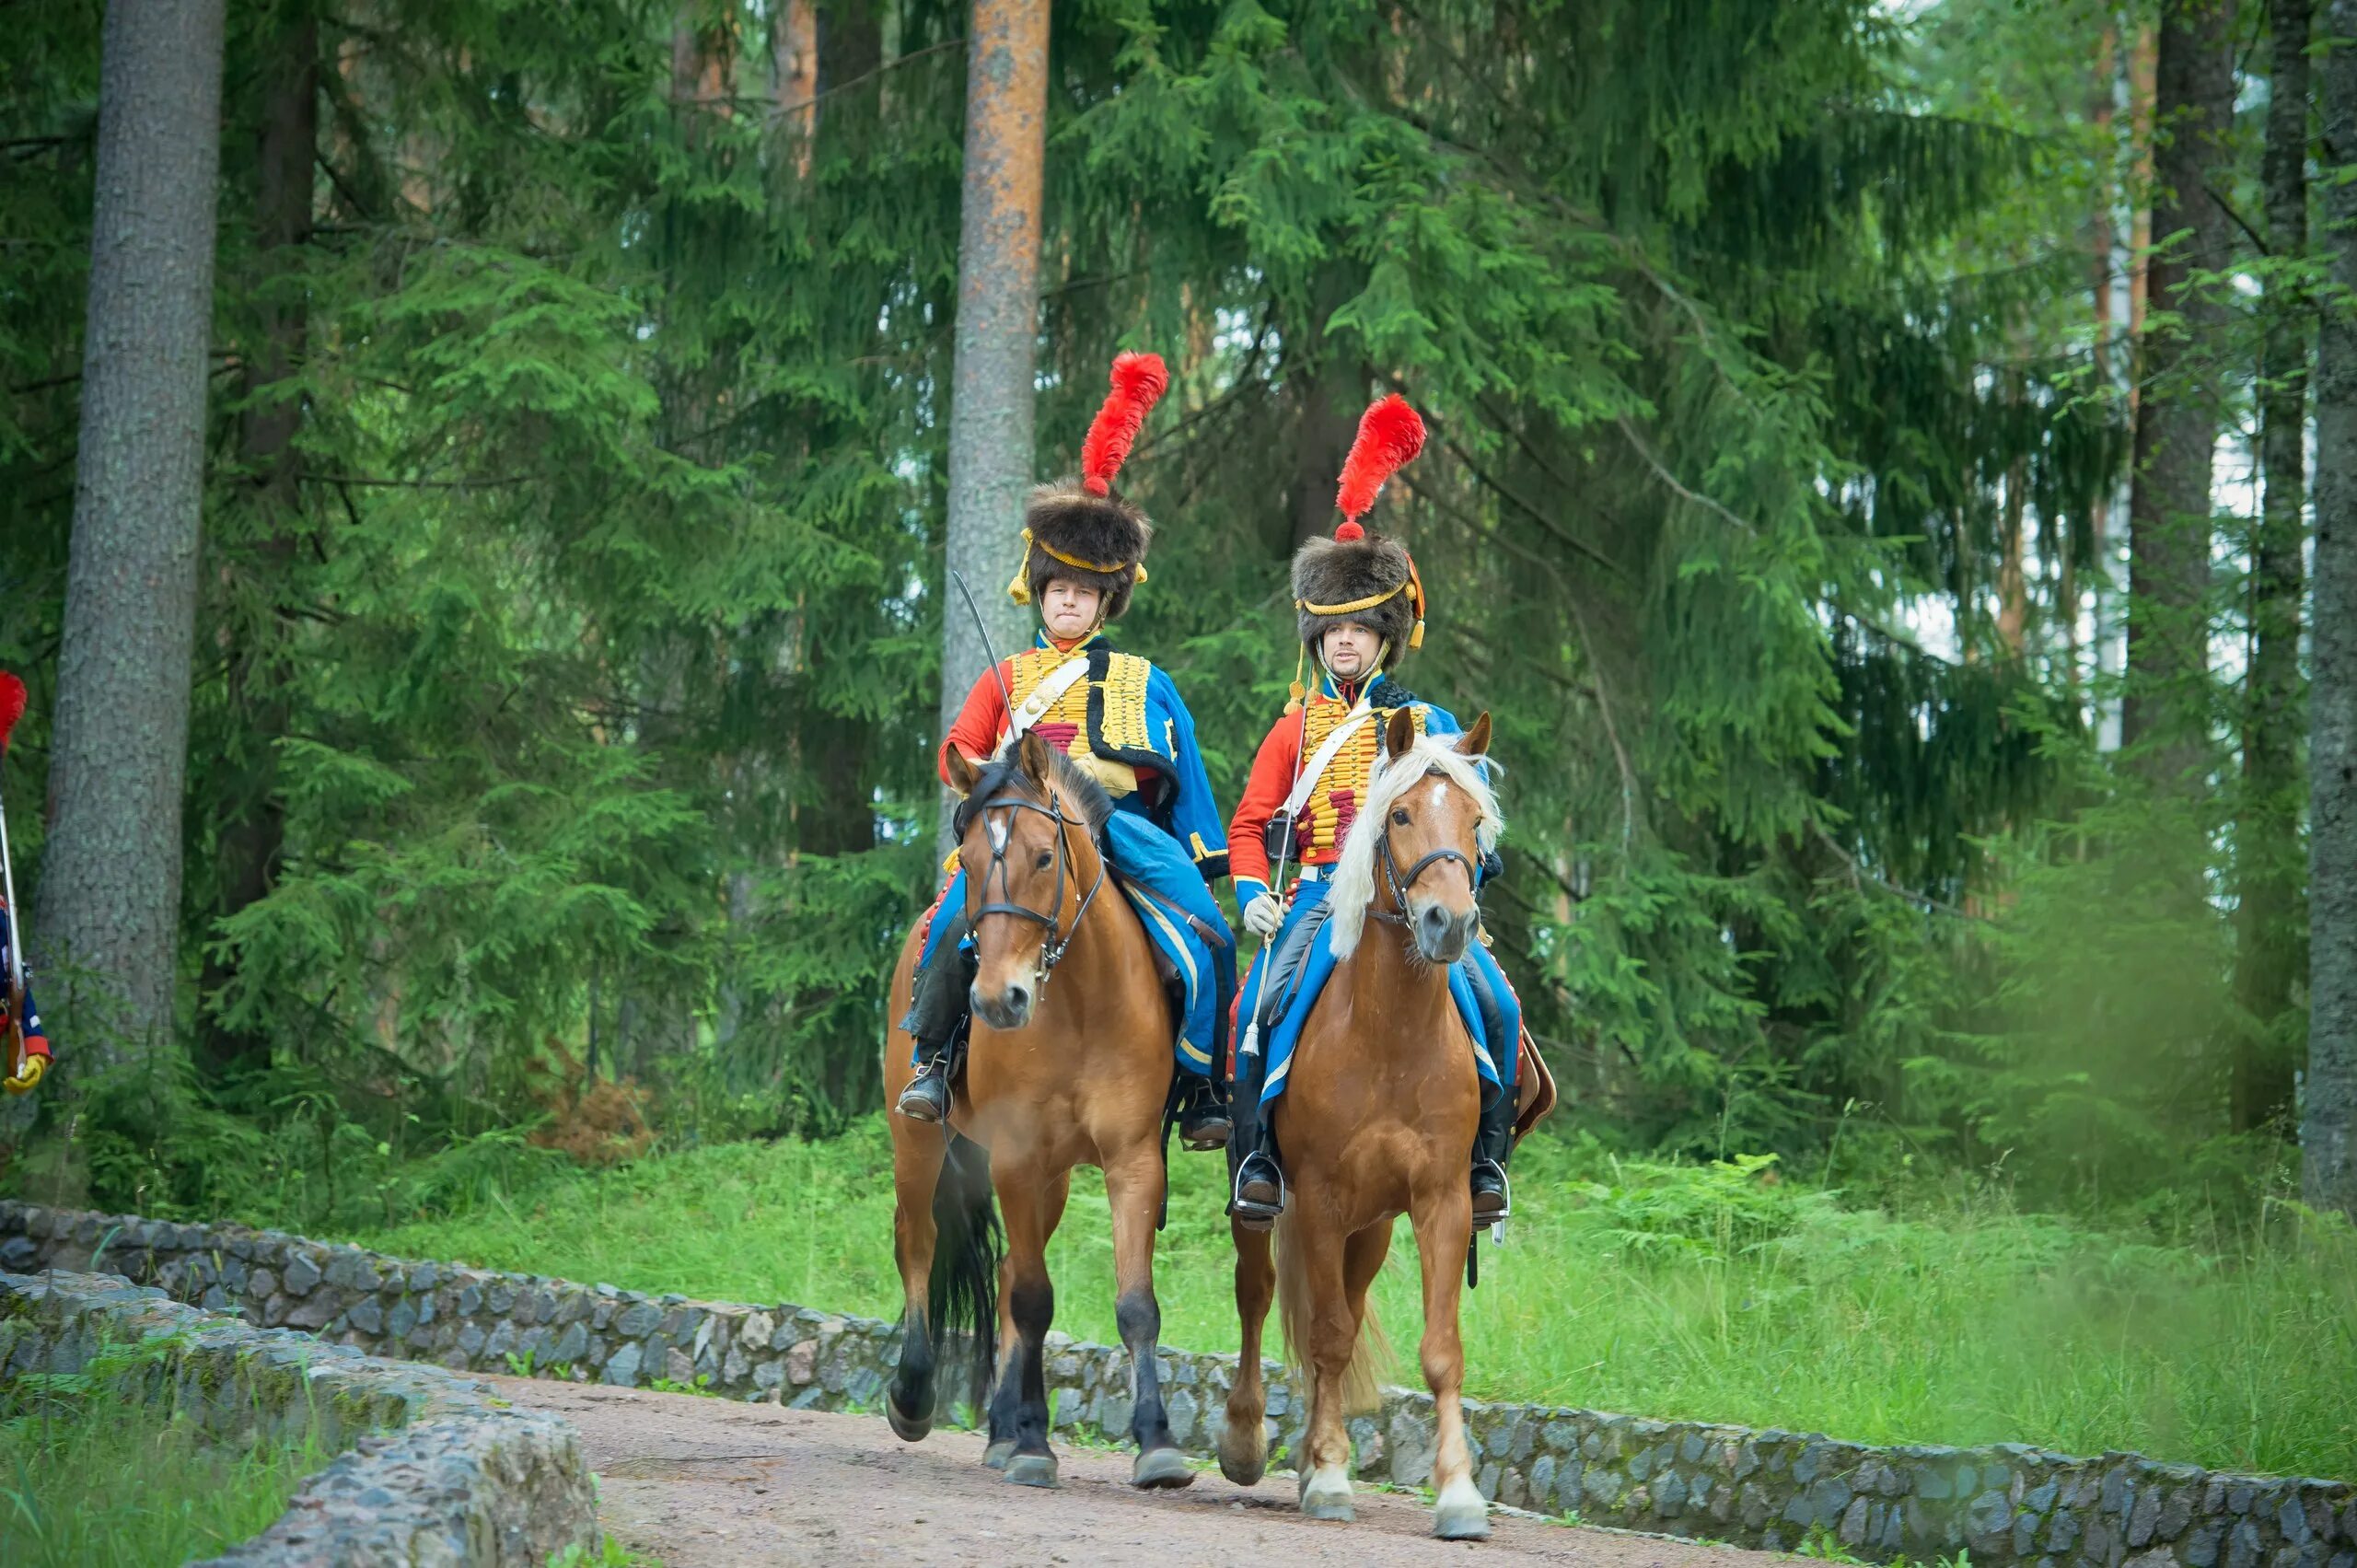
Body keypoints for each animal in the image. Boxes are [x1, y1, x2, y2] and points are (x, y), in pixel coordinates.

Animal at [881, 726, 1197, 1490]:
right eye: (967, 860)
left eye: (1045, 855)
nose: (999, 1000)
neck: (1079, 1002)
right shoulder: (1017, 1157)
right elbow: (1033, 1298)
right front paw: (1032, 1443)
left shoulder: (1131, 1158)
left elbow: (1133, 1303)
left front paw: (1157, 1442)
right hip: (918, 1141)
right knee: (918, 1241)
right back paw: (916, 1393)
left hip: (1050, 1177)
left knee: (999, 1275)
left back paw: (1001, 1427)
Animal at [1215, 712, 1546, 1537]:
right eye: (1399, 814)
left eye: (1474, 821)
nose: (1448, 922)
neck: (1390, 1032)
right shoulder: (1319, 1197)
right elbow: (1328, 1335)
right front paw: (1332, 1474)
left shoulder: (1441, 1200)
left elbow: (1439, 1347)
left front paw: (1458, 1492)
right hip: (1266, 1203)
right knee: (1258, 1294)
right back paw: (1249, 1439)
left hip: (1372, 1225)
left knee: (1347, 1300)